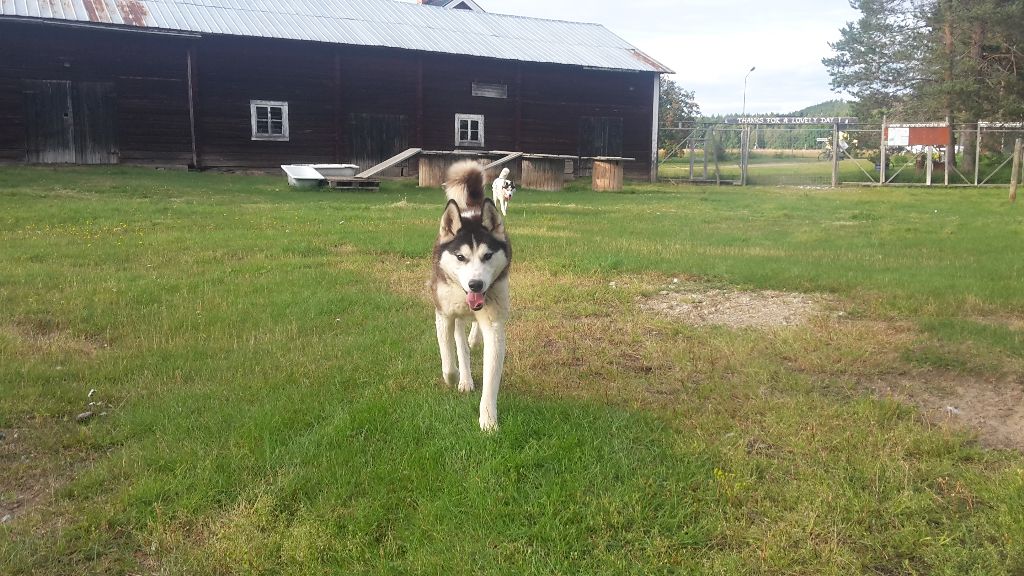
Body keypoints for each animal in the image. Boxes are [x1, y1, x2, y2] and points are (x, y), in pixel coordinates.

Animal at [432, 158, 512, 428]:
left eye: (487, 255)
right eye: (460, 257)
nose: (476, 284)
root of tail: (472, 209)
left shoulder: (494, 323)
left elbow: (491, 378)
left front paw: (488, 420)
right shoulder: (443, 315)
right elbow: (448, 359)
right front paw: (454, 377)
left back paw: (474, 338)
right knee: (459, 345)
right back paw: (464, 378)